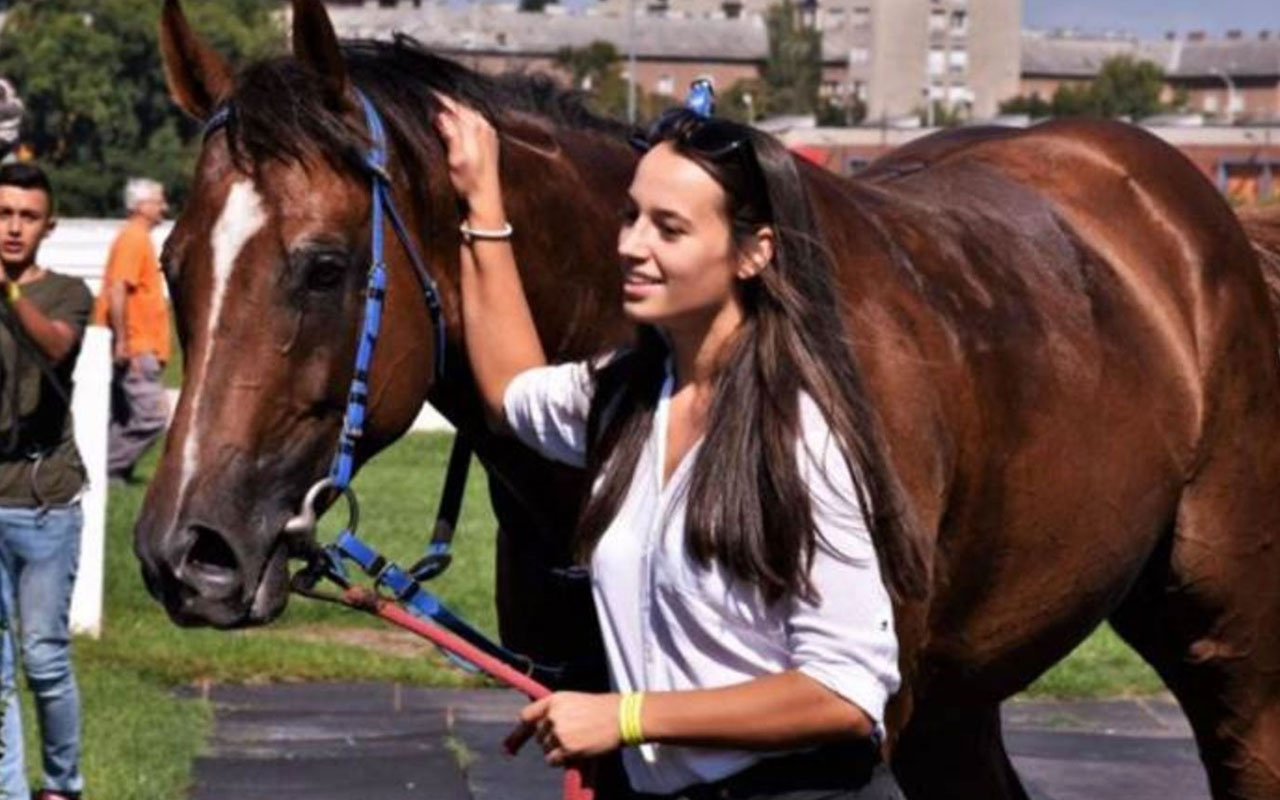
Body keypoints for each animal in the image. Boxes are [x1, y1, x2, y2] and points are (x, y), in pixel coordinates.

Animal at [132, 3, 1280, 793]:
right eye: (174, 264)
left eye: (325, 268)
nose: (185, 552)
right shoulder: (596, 710)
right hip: (962, 690)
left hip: (1229, 643)